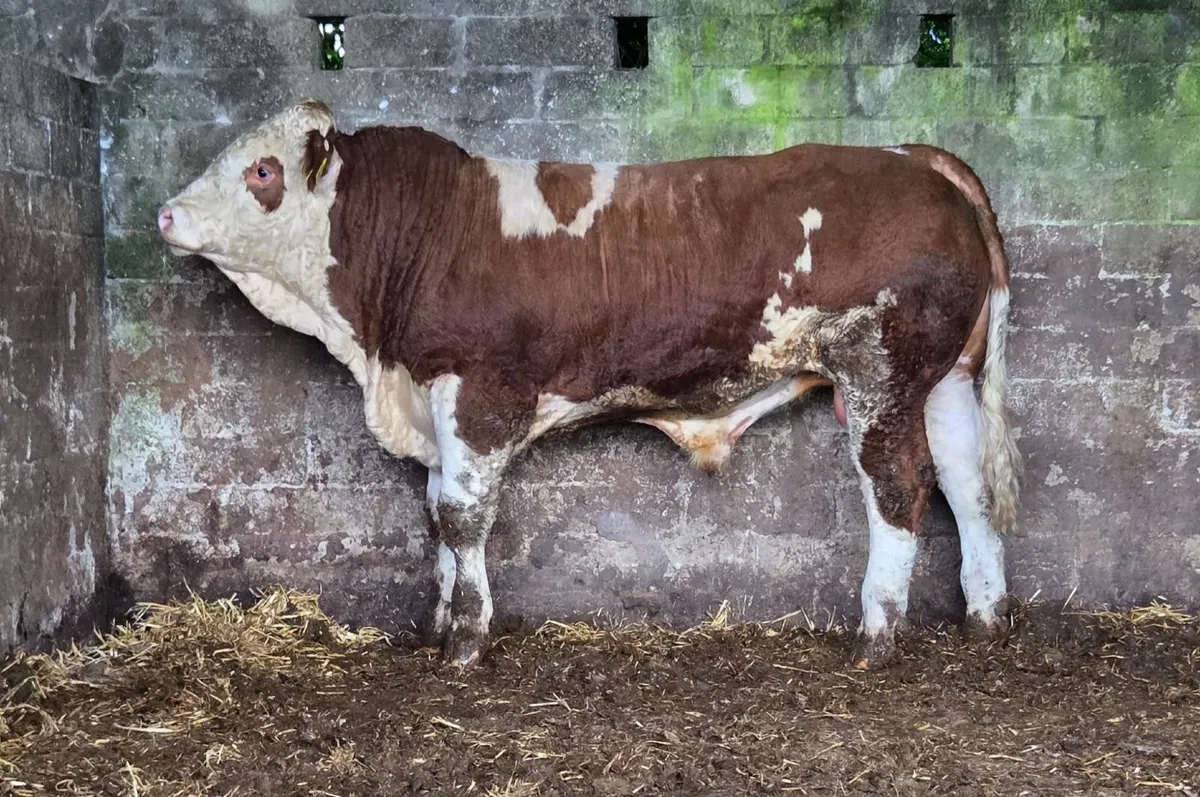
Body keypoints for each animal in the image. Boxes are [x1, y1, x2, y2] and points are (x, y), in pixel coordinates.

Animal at [156, 99, 1022, 670]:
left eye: (261, 170)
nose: (165, 214)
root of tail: (912, 155)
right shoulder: (433, 401)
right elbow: (437, 517)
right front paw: (439, 622)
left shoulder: (479, 392)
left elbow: (463, 517)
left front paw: (465, 642)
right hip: (946, 379)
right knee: (966, 483)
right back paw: (986, 614)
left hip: (881, 372)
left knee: (898, 485)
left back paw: (876, 635)